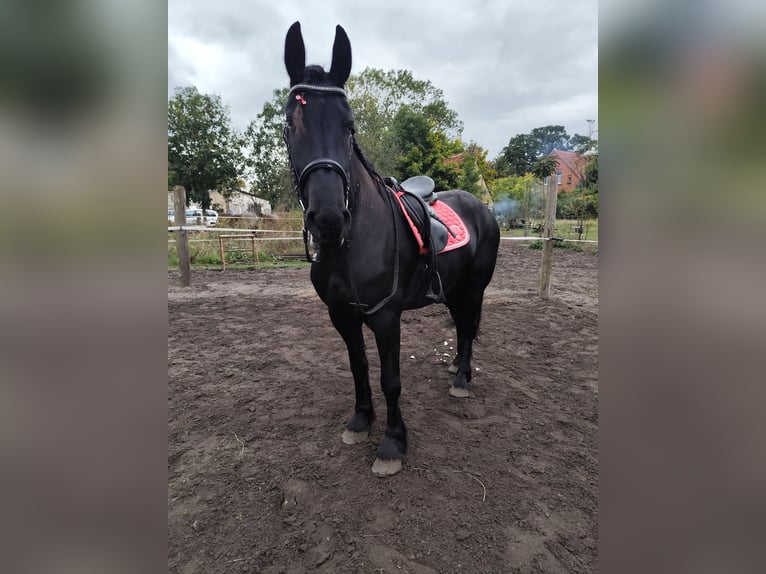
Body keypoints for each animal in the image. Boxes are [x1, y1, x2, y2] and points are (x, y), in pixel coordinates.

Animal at [282, 22, 500, 476]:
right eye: (290, 124)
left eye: (349, 126)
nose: (328, 219)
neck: (350, 246)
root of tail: (482, 208)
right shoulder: (341, 316)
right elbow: (359, 367)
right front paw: (360, 421)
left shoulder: (385, 318)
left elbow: (390, 379)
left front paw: (393, 444)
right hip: (453, 289)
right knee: (462, 325)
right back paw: (456, 368)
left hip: (474, 287)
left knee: (467, 327)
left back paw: (461, 380)